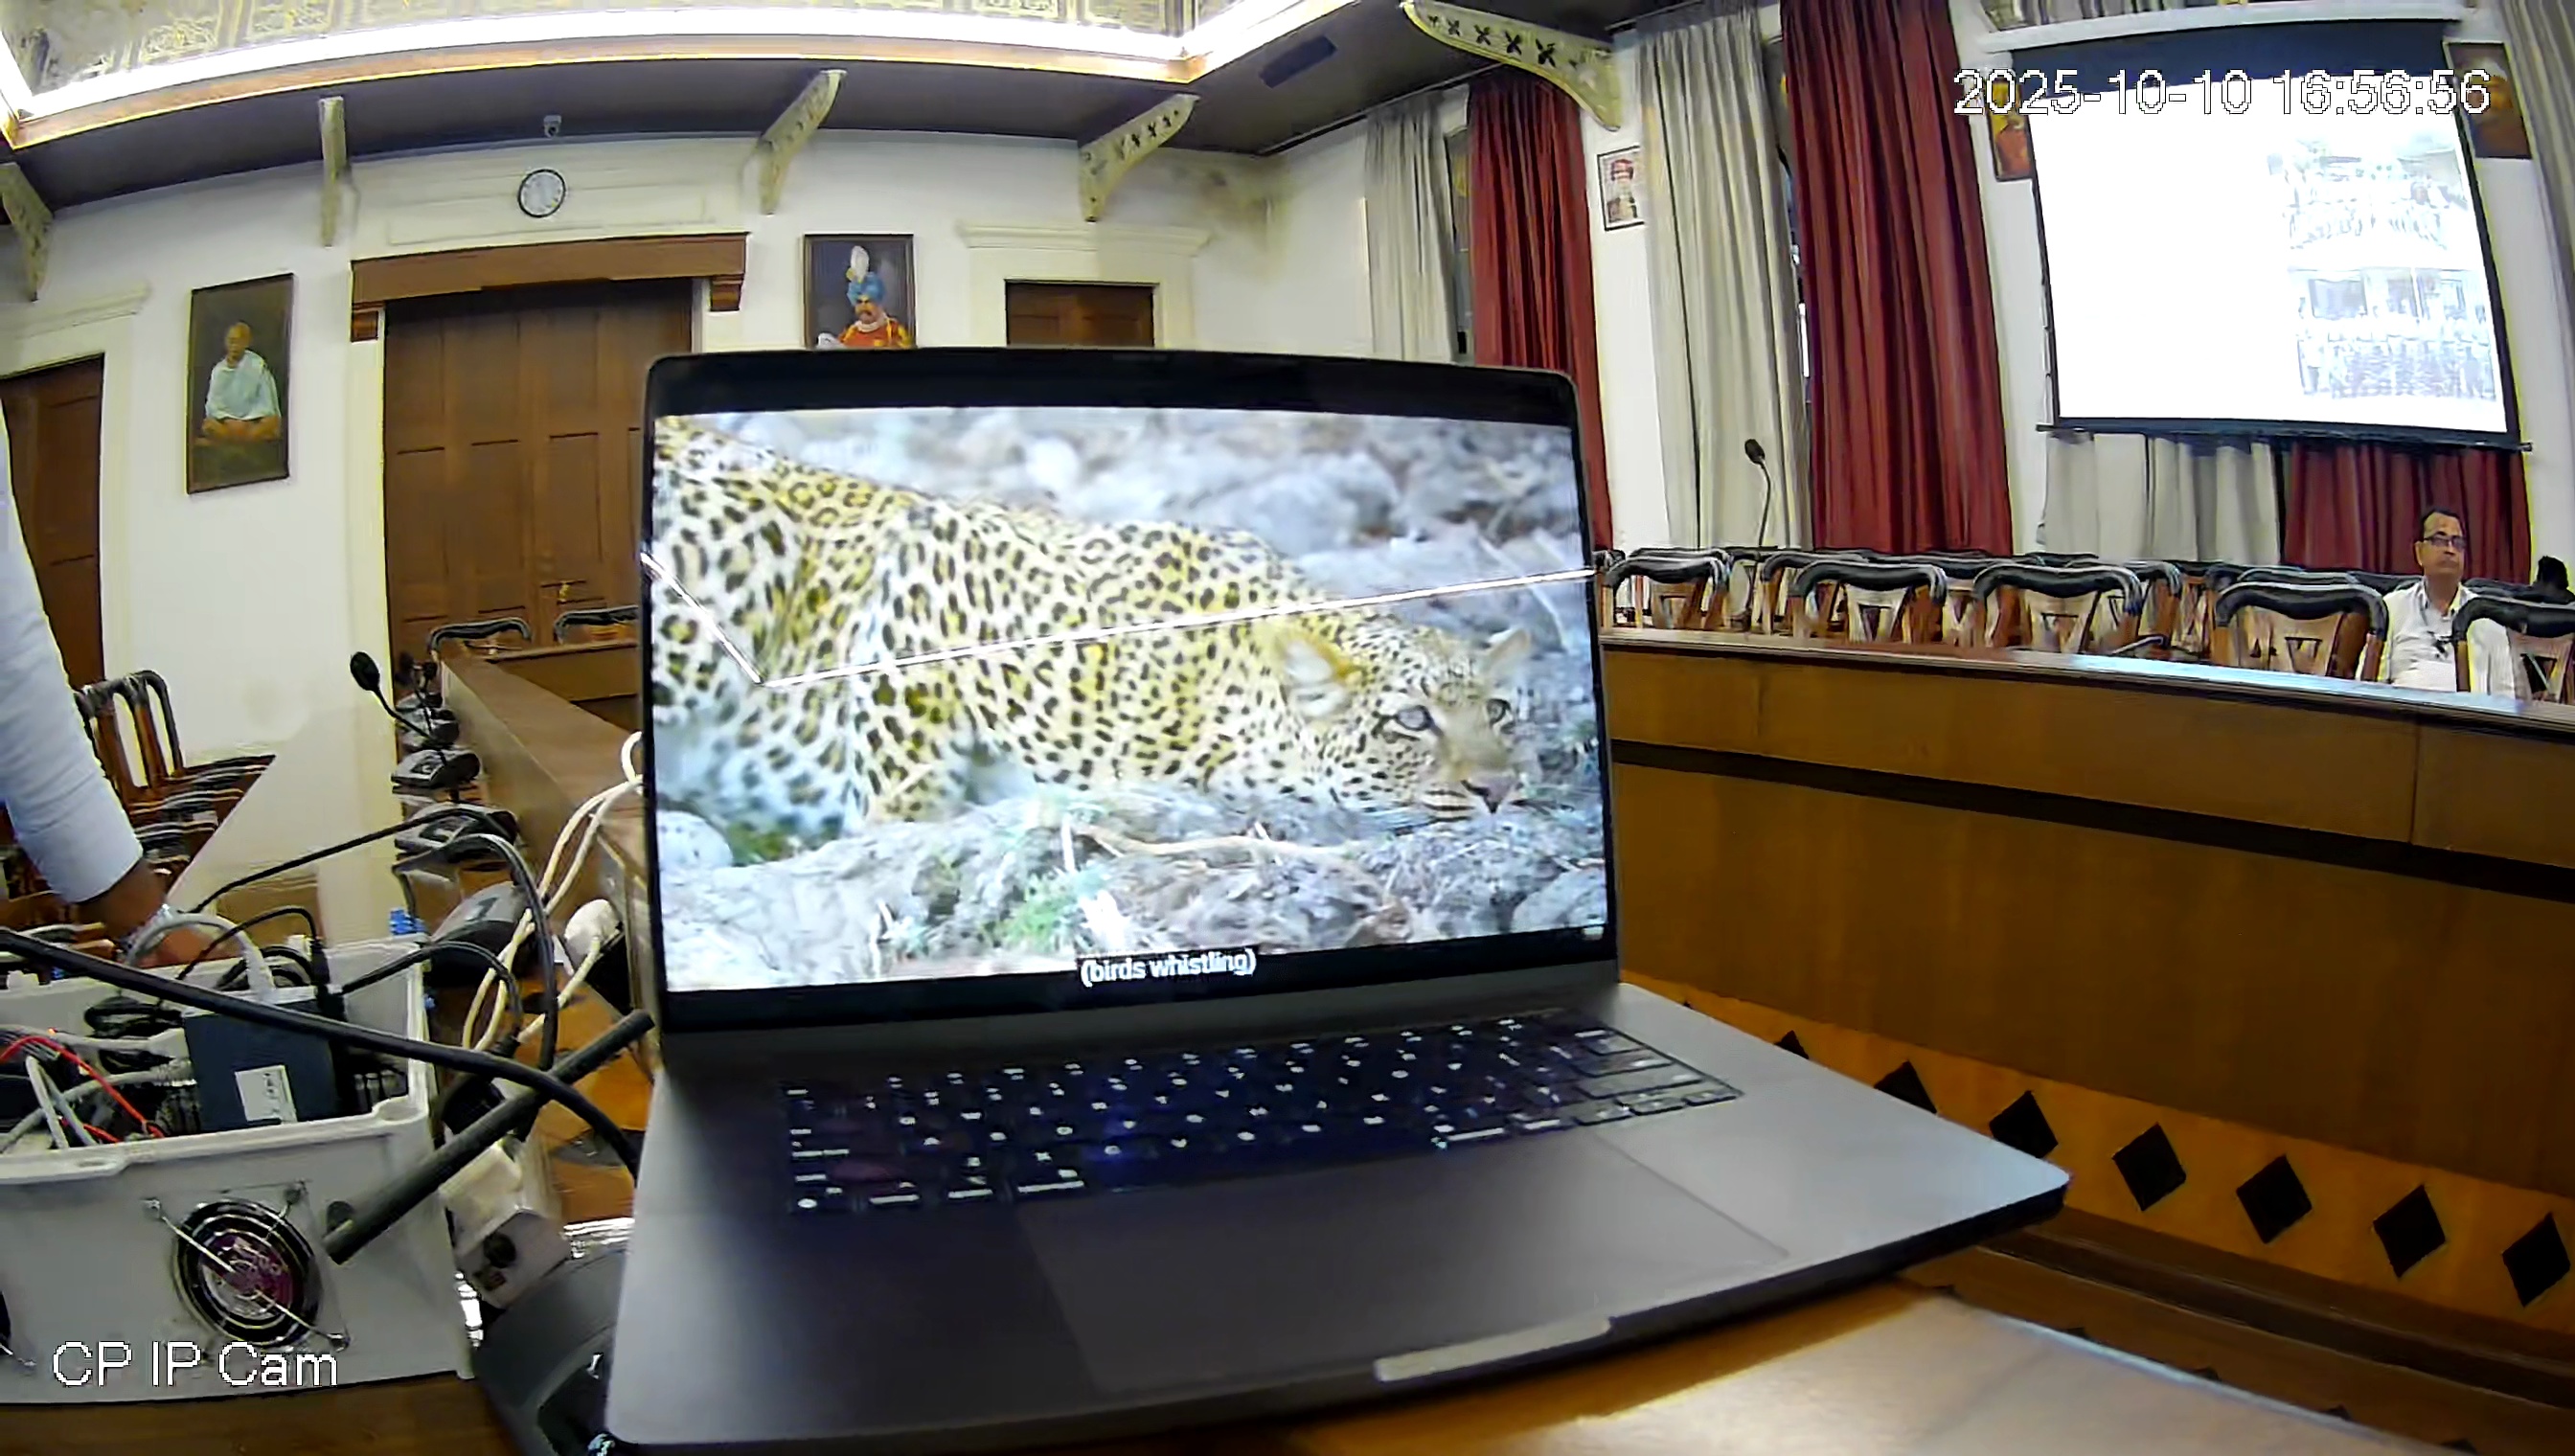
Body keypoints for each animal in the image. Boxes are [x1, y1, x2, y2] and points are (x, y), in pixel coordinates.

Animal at [645, 418, 1534, 850]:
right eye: (1412, 720)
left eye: (1499, 711)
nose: (1498, 790)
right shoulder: (940, 558)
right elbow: (906, 752)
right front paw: (895, 826)